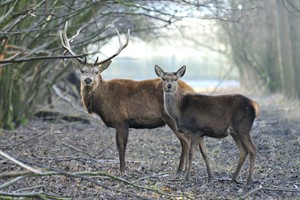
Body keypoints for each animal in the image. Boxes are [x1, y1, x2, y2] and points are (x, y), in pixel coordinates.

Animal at [59, 22, 195, 173]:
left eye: (96, 71)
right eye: (82, 71)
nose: (87, 80)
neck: (102, 101)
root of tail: (192, 89)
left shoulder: (121, 119)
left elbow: (121, 146)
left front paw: (122, 170)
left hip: (171, 117)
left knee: (185, 139)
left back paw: (181, 169)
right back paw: (182, 168)